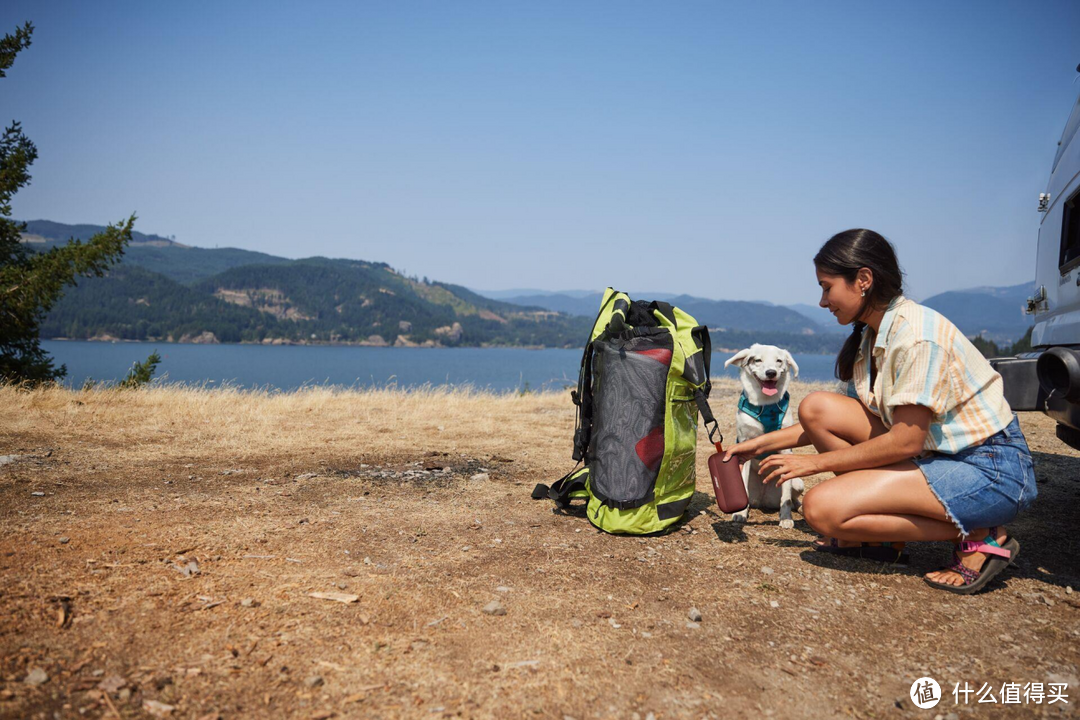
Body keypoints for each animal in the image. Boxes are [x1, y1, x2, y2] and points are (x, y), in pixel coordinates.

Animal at [725, 343, 803, 528]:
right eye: (758, 360)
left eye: (779, 361)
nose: (771, 373)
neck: (765, 405)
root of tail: (763, 498)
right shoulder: (744, 447)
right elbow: (743, 487)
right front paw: (740, 513)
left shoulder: (785, 452)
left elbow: (786, 497)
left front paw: (786, 518)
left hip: (799, 482)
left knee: (794, 498)